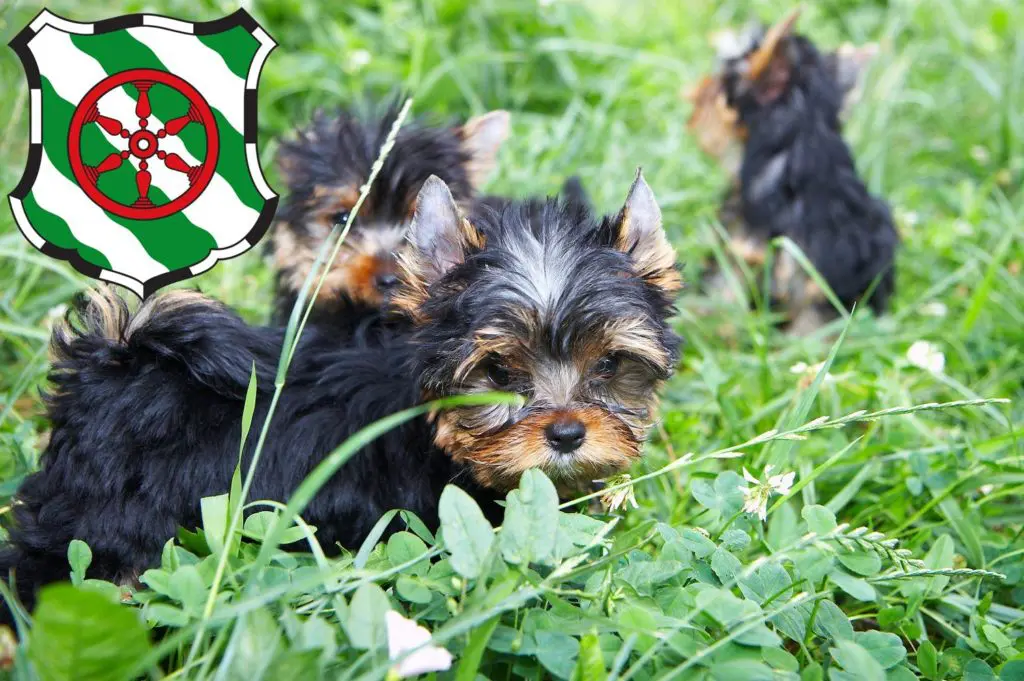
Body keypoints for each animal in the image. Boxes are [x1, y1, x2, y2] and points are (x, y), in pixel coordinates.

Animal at [6, 169, 688, 610]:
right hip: (103, 520)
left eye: (608, 365)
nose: (568, 432)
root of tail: (116, 355)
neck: (432, 430)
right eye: (498, 372)